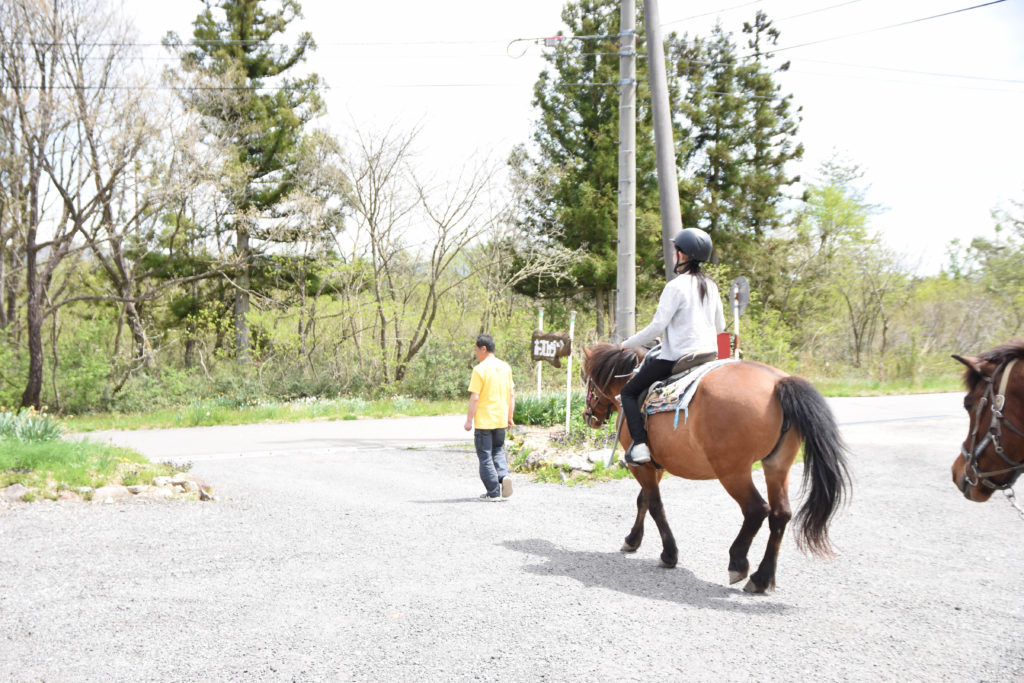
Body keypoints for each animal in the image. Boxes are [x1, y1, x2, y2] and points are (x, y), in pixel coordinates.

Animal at [581, 344, 851, 593]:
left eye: (586, 378)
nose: (587, 415)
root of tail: (778, 383)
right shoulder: (655, 466)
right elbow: (644, 501)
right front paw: (633, 540)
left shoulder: (642, 465)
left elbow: (655, 505)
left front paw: (669, 554)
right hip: (776, 466)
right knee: (780, 514)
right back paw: (761, 578)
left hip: (732, 471)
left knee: (756, 510)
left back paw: (738, 562)